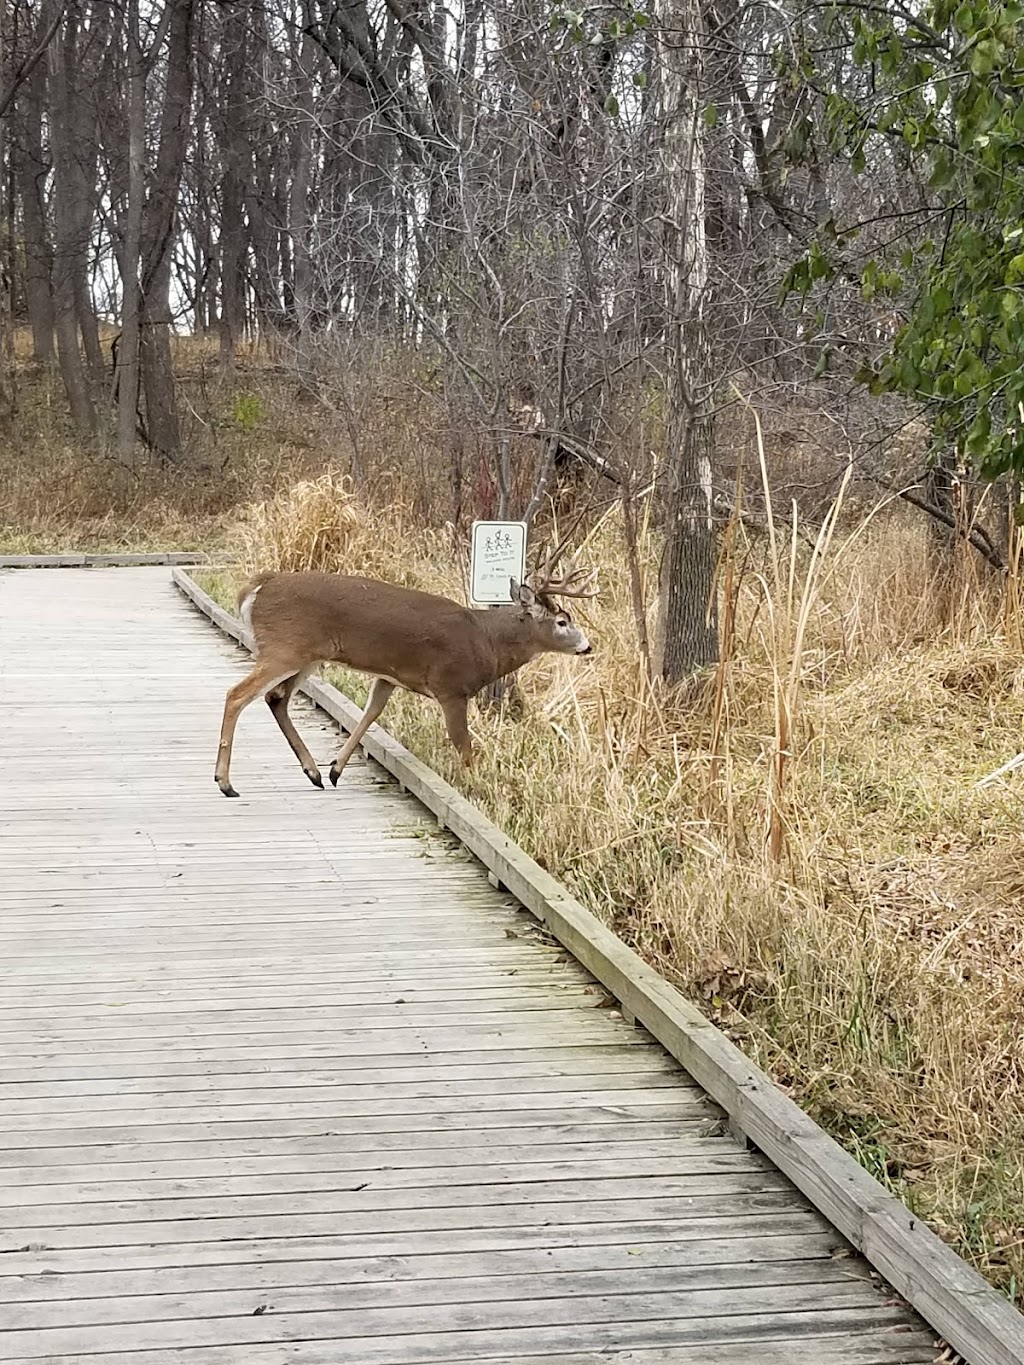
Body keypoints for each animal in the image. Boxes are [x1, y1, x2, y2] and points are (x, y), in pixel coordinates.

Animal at [217, 556, 600, 797]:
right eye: (562, 621)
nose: (587, 646)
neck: (485, 641)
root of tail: (258, 587)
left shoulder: (389, 676)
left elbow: (370, 713)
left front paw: (336, 769)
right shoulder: (451, 686)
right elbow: (463, 744)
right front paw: (475, 786)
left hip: (307, 654)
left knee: (276, 698)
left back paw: (313, 773)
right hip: (285, 647)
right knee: (237, 694)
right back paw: (225, 782)